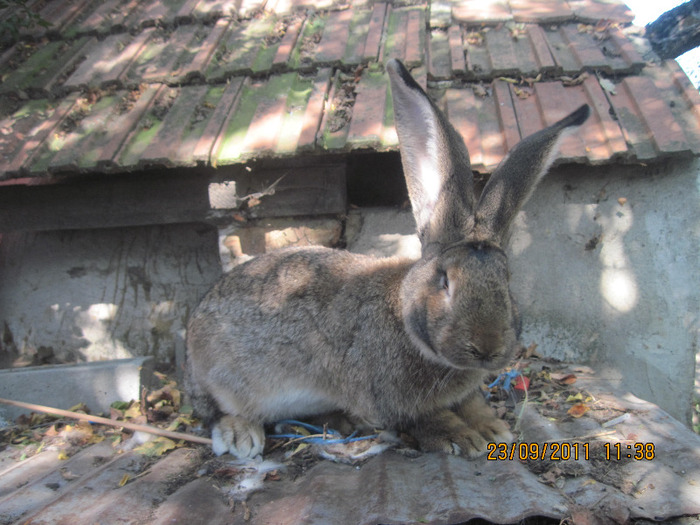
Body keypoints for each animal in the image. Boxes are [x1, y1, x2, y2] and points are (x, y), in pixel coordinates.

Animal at [186, 58, 592, 458]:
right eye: (445, 281)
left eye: (507, 281)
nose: (486, 348)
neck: (404, 318)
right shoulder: (384, 398)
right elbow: (424, 419)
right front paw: (465, 438)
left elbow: (471, 403)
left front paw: (493, 429)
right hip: (220, 375)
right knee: (215, 410)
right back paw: (241, 436)